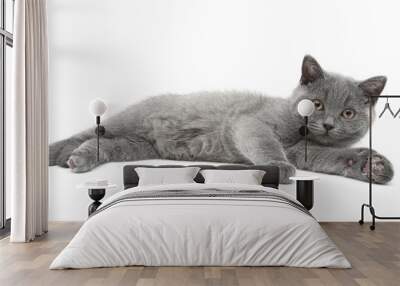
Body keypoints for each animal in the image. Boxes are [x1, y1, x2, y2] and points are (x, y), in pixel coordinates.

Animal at [49, 55, 394, 183]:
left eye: (347, 113)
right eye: (317, 104)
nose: (329, 124)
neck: (302, 135)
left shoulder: (306, 151)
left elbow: (331, 157)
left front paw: (373, 166)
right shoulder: (254, 123)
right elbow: (265, 143)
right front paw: (278, 166)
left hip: (137, 146)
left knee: (104, 145)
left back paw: (77, 158)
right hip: (128, 122)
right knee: (85, 135)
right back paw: (58, 154)